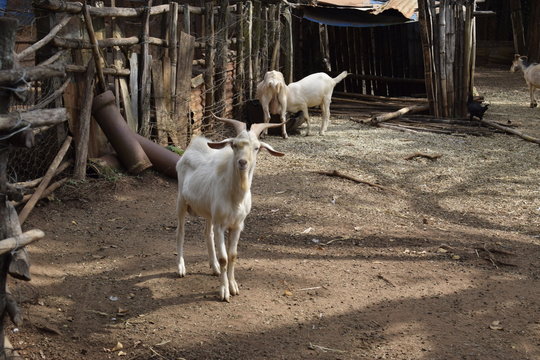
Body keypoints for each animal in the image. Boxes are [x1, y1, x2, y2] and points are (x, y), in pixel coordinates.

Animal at [177, 117, 286, 300]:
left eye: (256, 148)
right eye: (234, 145)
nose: (242, 162)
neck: (235, 198)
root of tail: (194, 144)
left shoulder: (237, 225)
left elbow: (232, 255)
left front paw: (233, 286)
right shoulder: (221, 225)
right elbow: (224, 258)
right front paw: (224, 291)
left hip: (209, 212)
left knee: (207, 233)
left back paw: (214, 267)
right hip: (181, 201)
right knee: (181, 232)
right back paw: (180, 268)